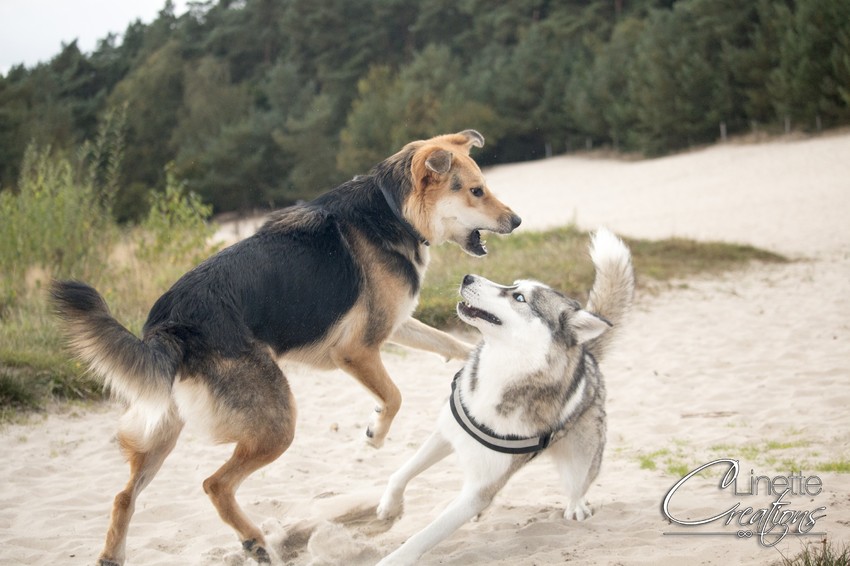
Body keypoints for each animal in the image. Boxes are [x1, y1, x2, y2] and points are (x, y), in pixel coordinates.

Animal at [49, 129, 520, 566]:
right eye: (477, 191)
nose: (517, 221)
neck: (393, 210)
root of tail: (170, 327)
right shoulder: (356, 350)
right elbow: (394, 396)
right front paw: (374, 435)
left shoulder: (394, 326)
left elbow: (453, 344)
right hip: (278, 424)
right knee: (214, 484)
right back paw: (254, 541)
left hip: (162, 430)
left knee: (123, 496)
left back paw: (114, 554)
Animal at [375, 228, 634, 565]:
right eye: (512, 285)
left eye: (518, 297)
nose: (468, 276)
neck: (500, 370)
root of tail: (586, 356)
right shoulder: (446, 434)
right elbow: (400, 474)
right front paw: (389, 506)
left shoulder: (479, 492)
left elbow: (426, 534)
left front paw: (395, 558)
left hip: (580, 460)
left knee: (578, 484)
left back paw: (576, 506)